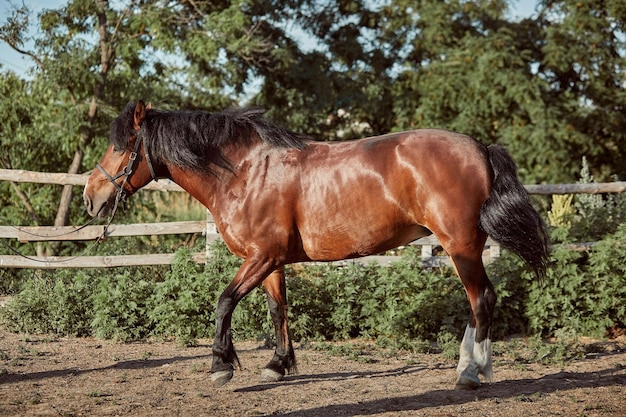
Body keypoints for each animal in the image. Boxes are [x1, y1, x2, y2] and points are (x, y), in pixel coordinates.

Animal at [83, 101, 544, 390]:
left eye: (120, 147)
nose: (90, 197)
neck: (244, 171)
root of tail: (480, 148)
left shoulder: (261, 257)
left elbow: (224, 302)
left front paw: (220, 365)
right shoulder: (271, 261)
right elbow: (278, 310)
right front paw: (277, 365)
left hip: (460, 246)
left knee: (481, 300)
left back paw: (472, 373)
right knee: (478, 302)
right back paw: (470, 367)